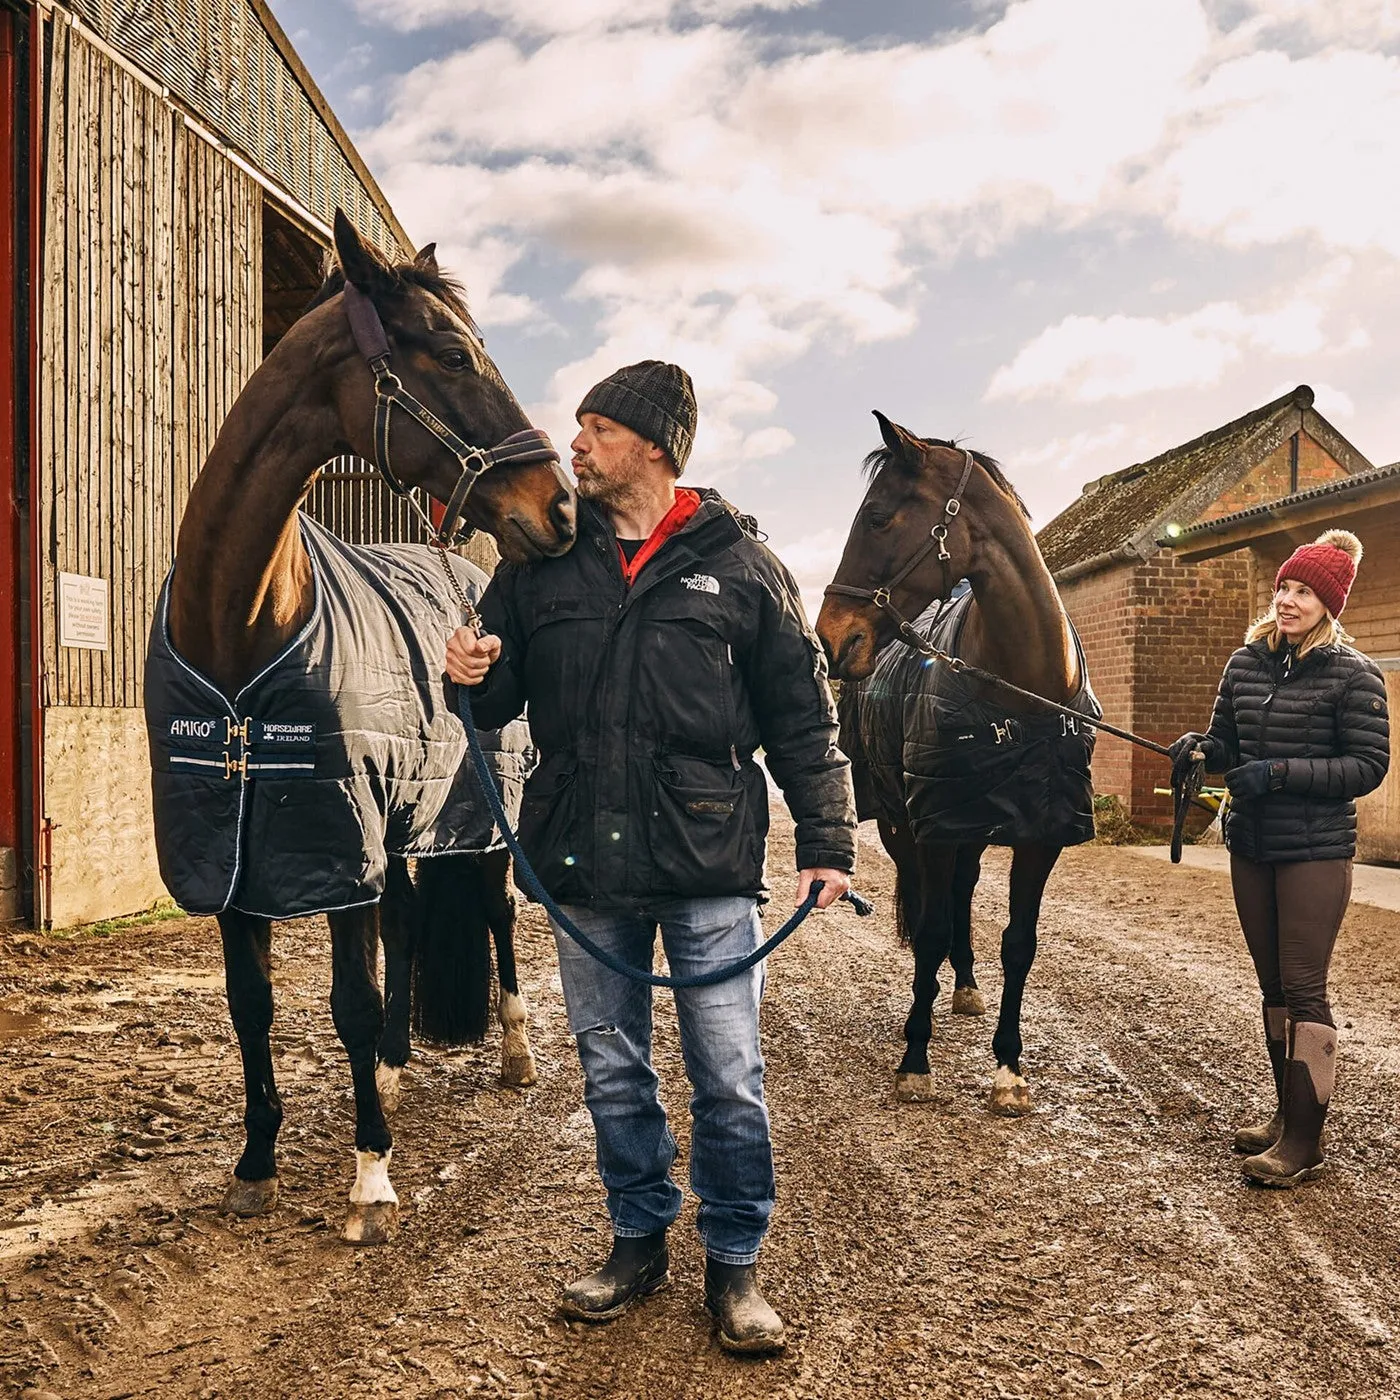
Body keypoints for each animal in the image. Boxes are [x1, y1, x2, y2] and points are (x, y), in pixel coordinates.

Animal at [162, 212, 574, 1243]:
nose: (560, 507)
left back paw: (513, 1054)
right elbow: (253, 1004)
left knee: (493, 914)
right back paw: (390, 1069)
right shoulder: (233, 851)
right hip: (402, 821)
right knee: (412, 919)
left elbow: (351, 997)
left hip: (479, 815)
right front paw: (256, 1163)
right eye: (455, 353)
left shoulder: (335, 842)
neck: (240, 625)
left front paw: (369, 1178)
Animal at [817, 414, 1097, 1114]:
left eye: (879, 518)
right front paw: (915, 1059)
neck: (1020, 694)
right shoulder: (935, 826)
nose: (830, 638)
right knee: (932, 908)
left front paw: (1009, 1069)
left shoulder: (1039, 836)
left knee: (965, 894)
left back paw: (966, 984)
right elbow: (931, 928)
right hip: (907, 824)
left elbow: (1019, 945)